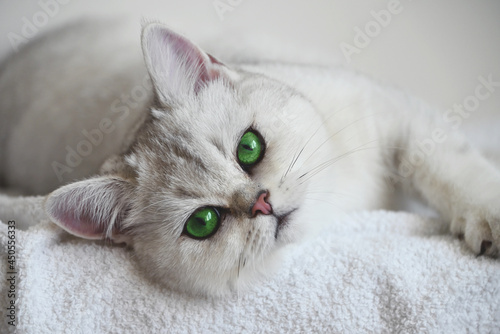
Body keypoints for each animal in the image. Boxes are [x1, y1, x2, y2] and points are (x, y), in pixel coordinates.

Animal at [0, 18, 500, 294]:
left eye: (249, 148)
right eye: (203, 222)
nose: (261, 203)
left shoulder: (396, 115)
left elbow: (448, 166)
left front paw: (487, 214)